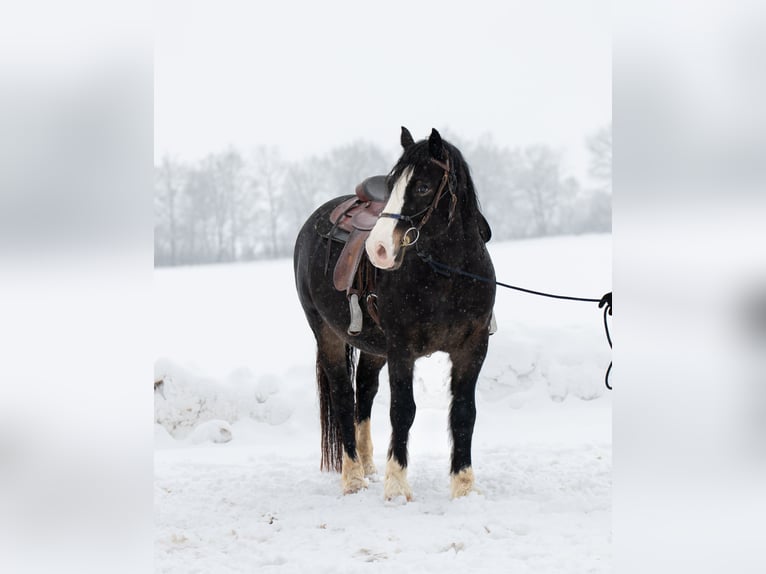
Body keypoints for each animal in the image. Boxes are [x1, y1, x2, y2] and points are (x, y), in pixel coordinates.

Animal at [293, 127, 495, 500]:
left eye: (423, 187)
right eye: (391, 185)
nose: (379, 248)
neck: (448, 274)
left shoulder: (472, 348)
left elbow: (464, 412)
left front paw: (463, 486)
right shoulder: (402, 349)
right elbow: (403, 411)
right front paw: (397, 486)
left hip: (375, 347)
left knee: (364, 390)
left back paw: (367, 463)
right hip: (327, 334)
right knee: (344, 396)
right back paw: (353, 476)